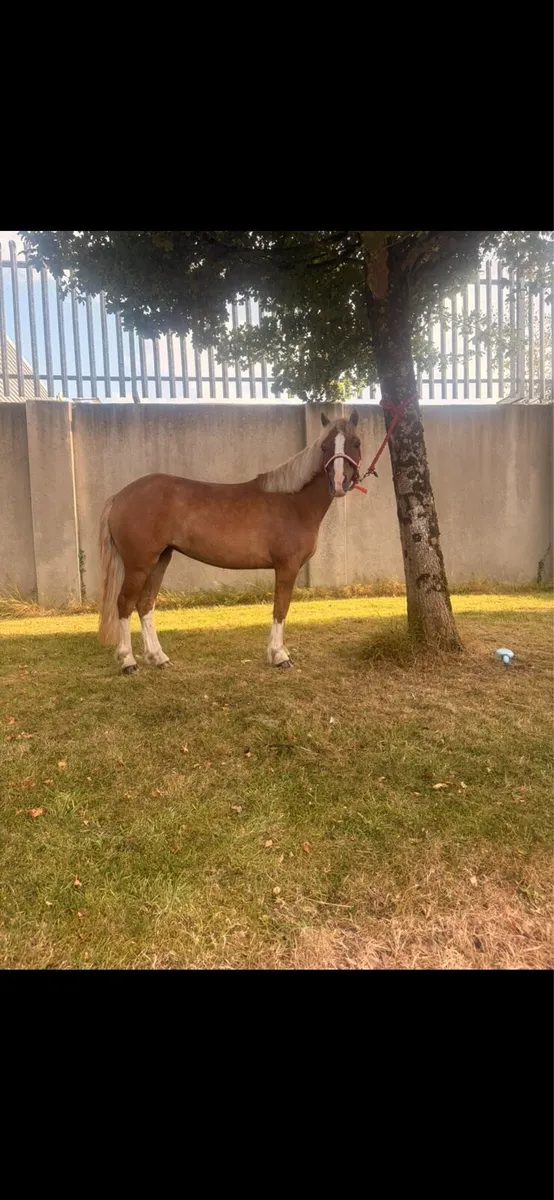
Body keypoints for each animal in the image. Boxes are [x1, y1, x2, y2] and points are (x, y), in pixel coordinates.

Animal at [97, 409, 362, 673]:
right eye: (325, 447)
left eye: (356, 443)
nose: (339, 482)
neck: (294, 502)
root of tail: (120, 496)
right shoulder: (287, 567)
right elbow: (280, 608)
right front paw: (279, 656)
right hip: (139, 565)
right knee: (125, 604)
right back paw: (128, 661)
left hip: (160, 560)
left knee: (145, 604)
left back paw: (158, 657)